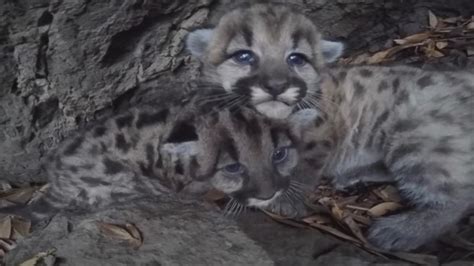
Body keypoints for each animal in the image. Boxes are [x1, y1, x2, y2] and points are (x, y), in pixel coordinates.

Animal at [187, 2, 474, 251]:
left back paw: (399, 231)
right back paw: (353, 175)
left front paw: (285, 201)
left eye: (296, 59)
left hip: (417, 136)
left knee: (457, 197)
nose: (276, 85)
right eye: (244, 56)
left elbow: (302, 168)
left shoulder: (319, 135)